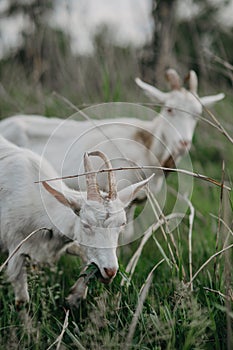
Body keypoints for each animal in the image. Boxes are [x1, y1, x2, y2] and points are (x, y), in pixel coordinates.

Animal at [0, 135, 151, 304]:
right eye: (86, 224)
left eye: (122, 224)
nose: (110, 271)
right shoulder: (15, 247)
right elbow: (22, 300)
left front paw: (73, 297)